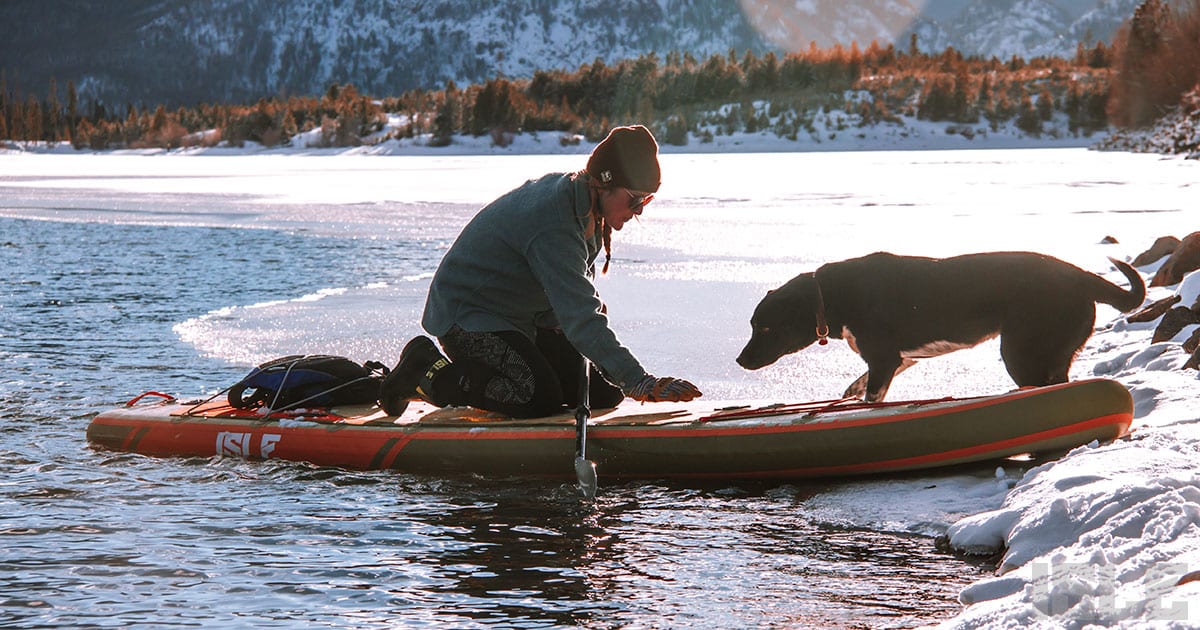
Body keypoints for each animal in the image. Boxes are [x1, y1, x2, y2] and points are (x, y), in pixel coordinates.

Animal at [739, 252, 1142, 403]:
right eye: (753, 325)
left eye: (765, 329)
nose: (741, 361)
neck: (830, 296)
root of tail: (1081, 276)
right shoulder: (897, 359)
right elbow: (863, 385)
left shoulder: (883, 358)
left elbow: (872, 396)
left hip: (1021, 352)